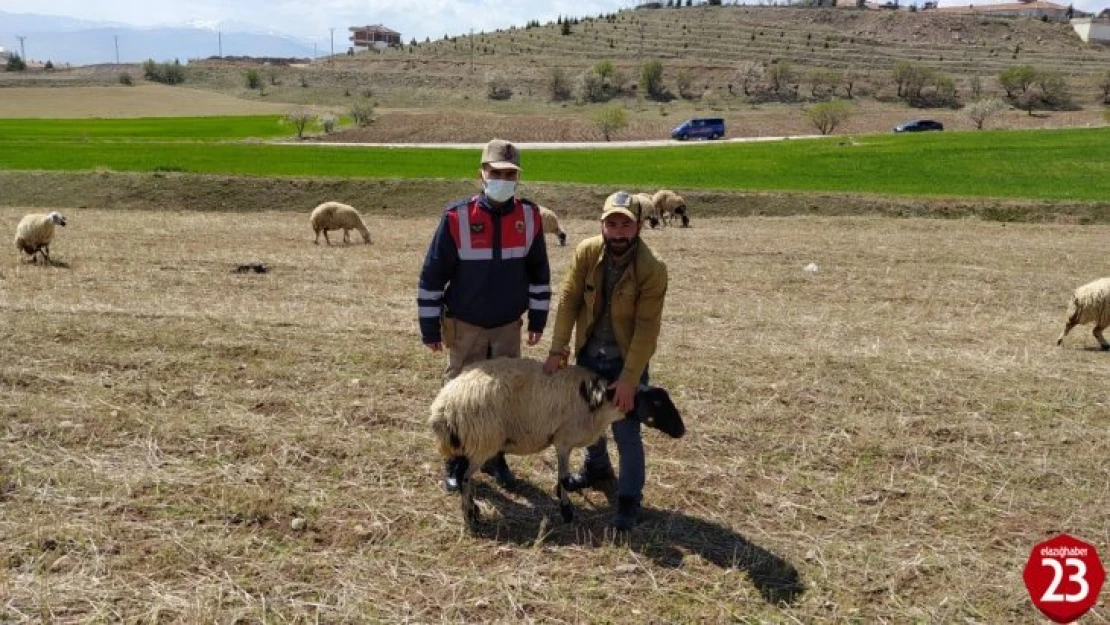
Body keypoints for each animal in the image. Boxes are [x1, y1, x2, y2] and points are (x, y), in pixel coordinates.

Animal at [426, 357, 679, 528]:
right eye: (657, 403)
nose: (681, 430)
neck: (601, 402)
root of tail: (442, 409)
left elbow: (563, 477)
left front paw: (562, 499)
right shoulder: (563, 440)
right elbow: (563, 477)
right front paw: (566, 510)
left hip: (471, 443)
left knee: (463, 476)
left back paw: (472, 510)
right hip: (482, 441)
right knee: (464, 477)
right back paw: (470, 514)